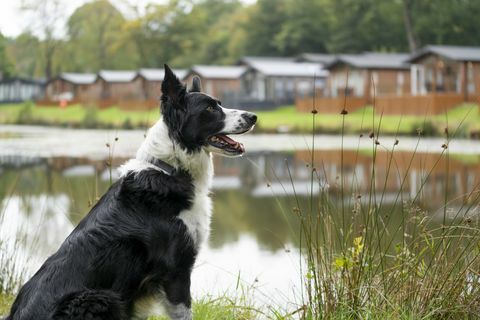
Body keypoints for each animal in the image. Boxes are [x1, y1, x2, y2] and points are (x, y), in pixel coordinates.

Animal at [5, 65, 256, 320]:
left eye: (219, 103)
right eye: (209, 108)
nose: (253, 117)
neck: (171, 170)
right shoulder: (176, 269)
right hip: (99, 297)